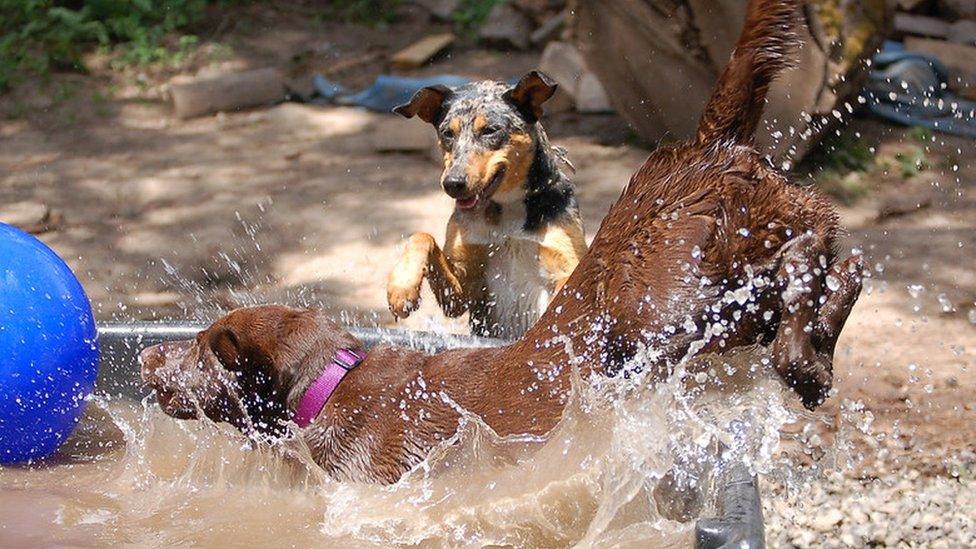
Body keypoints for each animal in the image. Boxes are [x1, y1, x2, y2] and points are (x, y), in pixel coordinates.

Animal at [388, 73, 588, 338]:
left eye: (490, 131)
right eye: (447, 133)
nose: (452, 183)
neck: (507, 208)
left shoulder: (566, 270)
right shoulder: (464, 293)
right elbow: (422, 236)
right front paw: (402, 288)